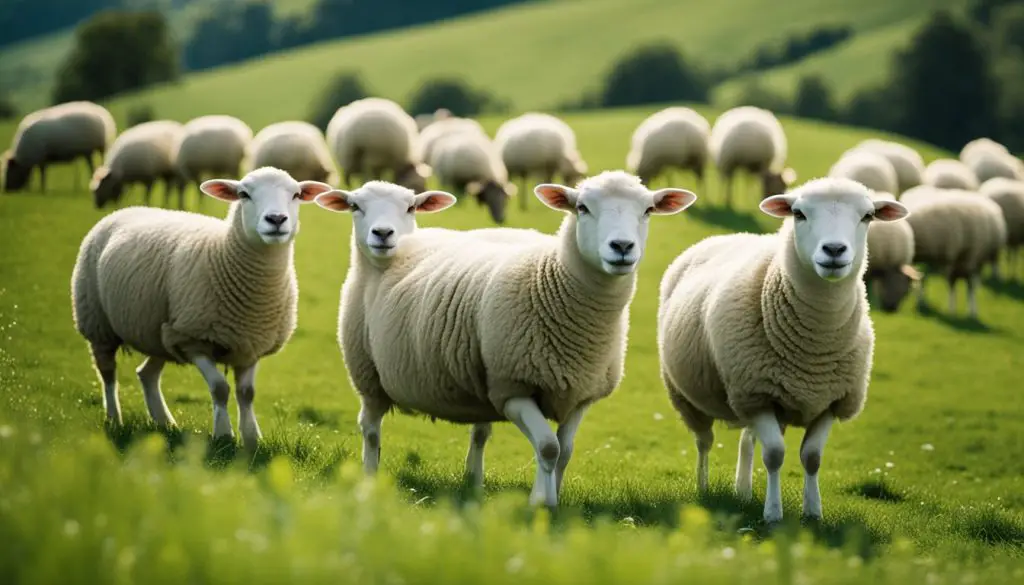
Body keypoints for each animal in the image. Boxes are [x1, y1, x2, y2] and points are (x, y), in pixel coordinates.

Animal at [70, 167, 334, 447]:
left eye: (296, 195)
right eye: (243, 194)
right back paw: (114, 418)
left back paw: (165, 422)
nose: (276, 219)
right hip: (98, 323)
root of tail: (125, 210)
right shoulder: (194, 340)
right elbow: (220, 388)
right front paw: (224, 435)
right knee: (107, 373)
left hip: (161, 333)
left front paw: (251, 438)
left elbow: (246, 393)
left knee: (147, 374)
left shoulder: (250, 344)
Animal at [324, 170, 695, 506]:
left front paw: (553, 500)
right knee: (370, 429)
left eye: (648, 210)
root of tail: (414, 238)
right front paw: (541, 503)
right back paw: (369, 479)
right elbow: (547, 447)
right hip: (366, 372)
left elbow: (564, 451)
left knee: (479, 434)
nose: (622, 247)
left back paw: (473, 483)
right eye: (582, 208)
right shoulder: (512, 388)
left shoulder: (581, 395)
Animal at [657, 177, 909, 523]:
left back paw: (743, 491)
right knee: (704, 442)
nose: (834, 250)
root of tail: (730, 235)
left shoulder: (831, 401)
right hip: (688, 396)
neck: (815, 344)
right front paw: (773, 514)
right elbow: (775, 455)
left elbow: (812, 458)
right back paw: (704, 488)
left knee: (747, 441)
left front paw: (813, 512)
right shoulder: (758, 395)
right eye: (798, 214)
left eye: (868, 216)